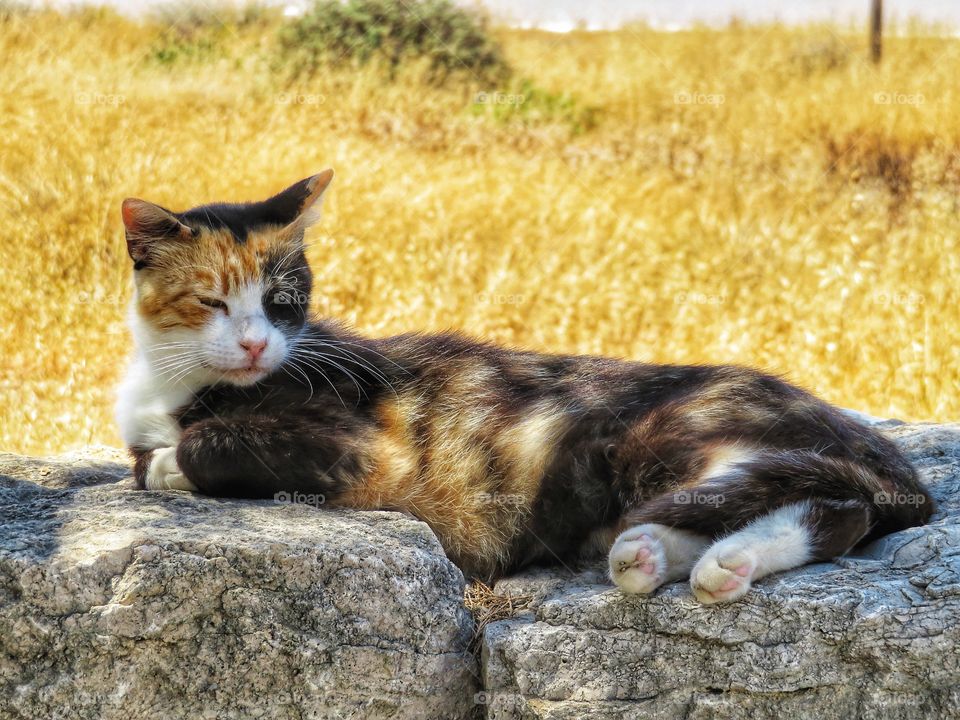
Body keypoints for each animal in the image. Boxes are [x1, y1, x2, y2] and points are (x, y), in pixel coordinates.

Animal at [116, 172, 932, 604]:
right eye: (213, 302)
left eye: (283, 300)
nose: (257, 343)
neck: (175, 379)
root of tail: (886, 457)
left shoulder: (358, 448)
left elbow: (205, 444)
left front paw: (167, 463)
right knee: (814, 511)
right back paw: (660, 559)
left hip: (668, 436)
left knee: (826, 503)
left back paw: (714, 564)